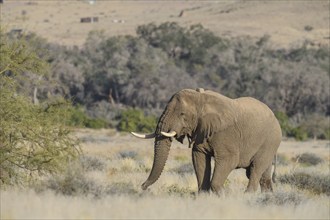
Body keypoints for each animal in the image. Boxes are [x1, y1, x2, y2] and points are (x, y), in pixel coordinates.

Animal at [131, 87, 282, 194]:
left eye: (182, 114)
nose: (143, 186)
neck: (201, 98)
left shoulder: (226, 133)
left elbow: (229, 160)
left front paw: (222, 196)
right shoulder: (200, 132)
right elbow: (199, 158)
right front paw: (204, 196)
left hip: (270, 141)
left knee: (255, 170)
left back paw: (248, 195)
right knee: (263, 177)